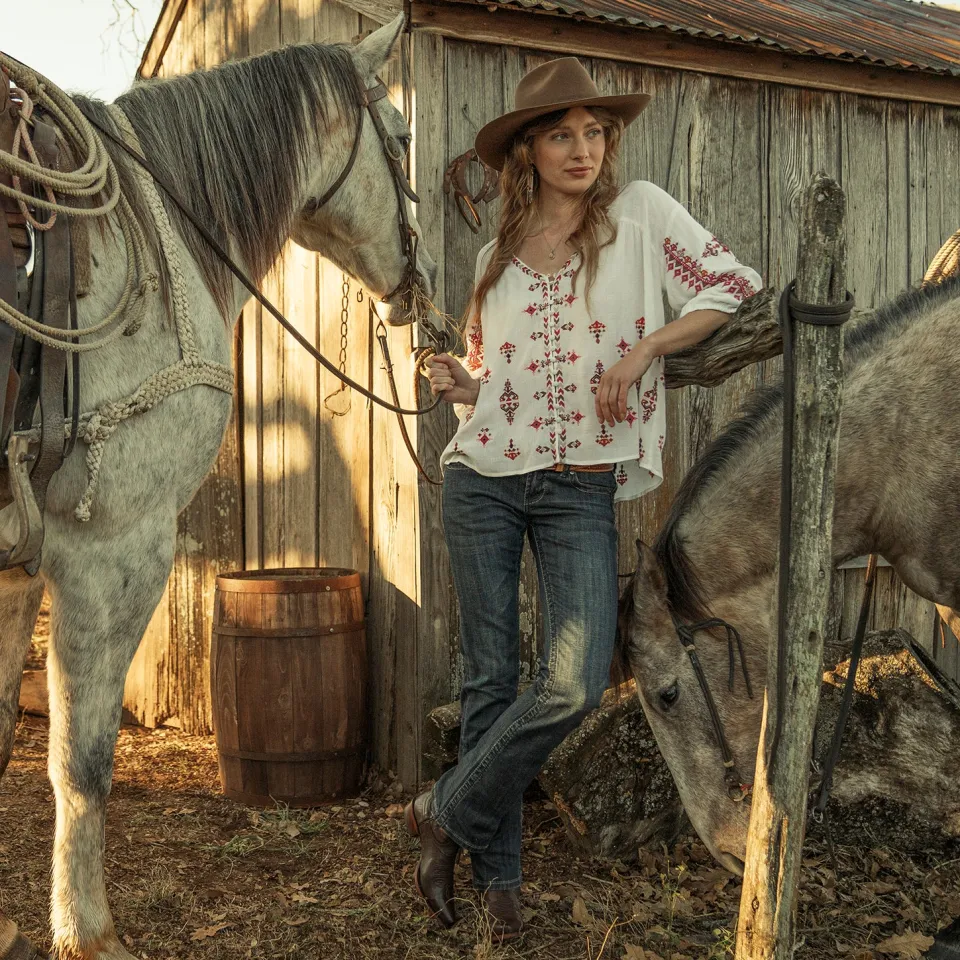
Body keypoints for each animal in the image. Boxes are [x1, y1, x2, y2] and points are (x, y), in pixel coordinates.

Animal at [0, 16, 436, 960]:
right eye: (401, 134)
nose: (418, 286)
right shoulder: (111, 552)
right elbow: (81, 764)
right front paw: (86, 930)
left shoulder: (16, 568)